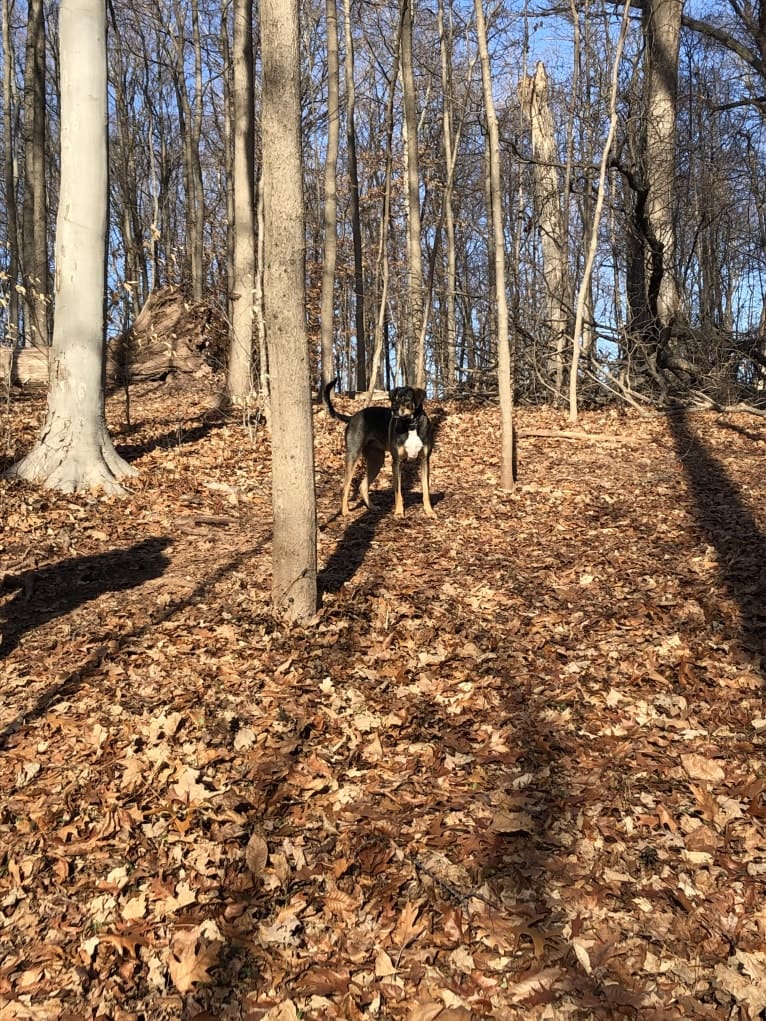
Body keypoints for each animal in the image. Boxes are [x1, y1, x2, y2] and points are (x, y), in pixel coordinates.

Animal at [320, 377, 435, 518]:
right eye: (394, 399)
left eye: (406, 399)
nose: (393, 409)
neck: (411, 425)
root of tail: (352, 418)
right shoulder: (397, 462)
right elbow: (398, 492)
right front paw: (398, 512)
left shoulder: (424, 460)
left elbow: (426, 490)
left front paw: (429, 511)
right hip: (353, 455)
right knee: (345, 487)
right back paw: (345, 511)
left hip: (377, 460)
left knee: (362, 486)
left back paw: (372, 507)